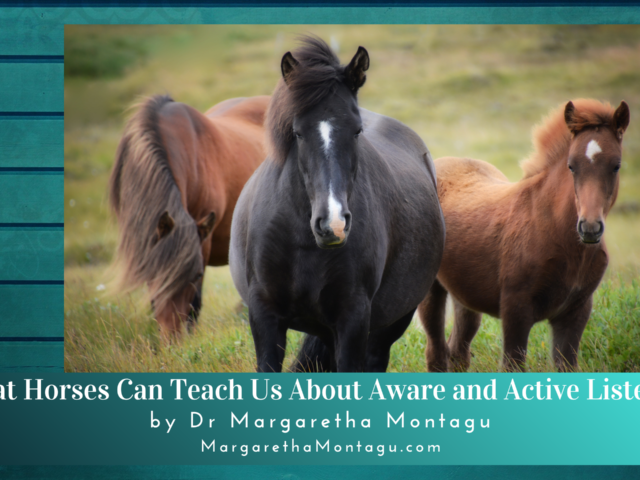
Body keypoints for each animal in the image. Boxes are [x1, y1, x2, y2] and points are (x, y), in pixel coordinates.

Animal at [229, 37, 445, 372]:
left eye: (357, 130)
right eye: (297, 132)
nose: (333, 225)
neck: (303, 242)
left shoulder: (353, 319)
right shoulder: (264, 315)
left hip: (390, 324)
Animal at [419, 99, 630, 372]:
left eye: (616, 166)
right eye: (571, 166)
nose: (590, 228)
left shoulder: (576, 311)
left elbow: (566, 364)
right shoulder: (515, 310)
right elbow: (513, 364)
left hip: (464, 294)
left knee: (458, 352)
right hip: (431, 290)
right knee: (436, 353)